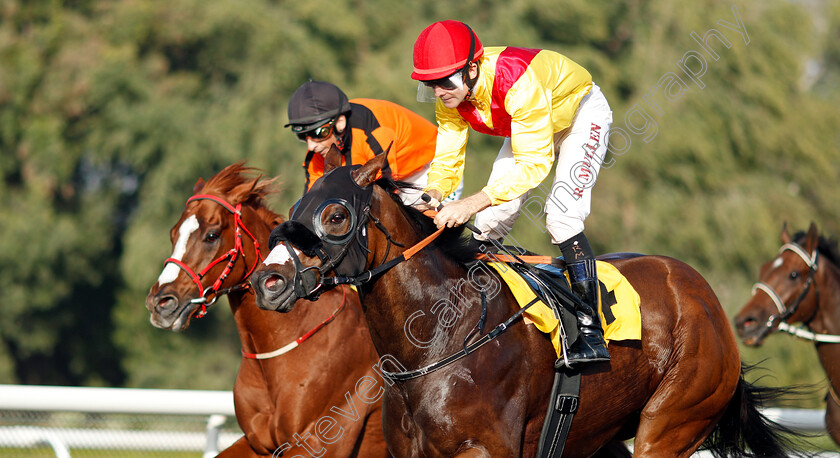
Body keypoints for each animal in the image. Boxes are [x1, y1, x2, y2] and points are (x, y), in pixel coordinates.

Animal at [248, 155, 800, 458]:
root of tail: (701, 292)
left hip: (672, 420)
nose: (268, 281)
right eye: (294, 210)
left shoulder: (484, 449)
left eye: (336, 215)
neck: (438, 344)